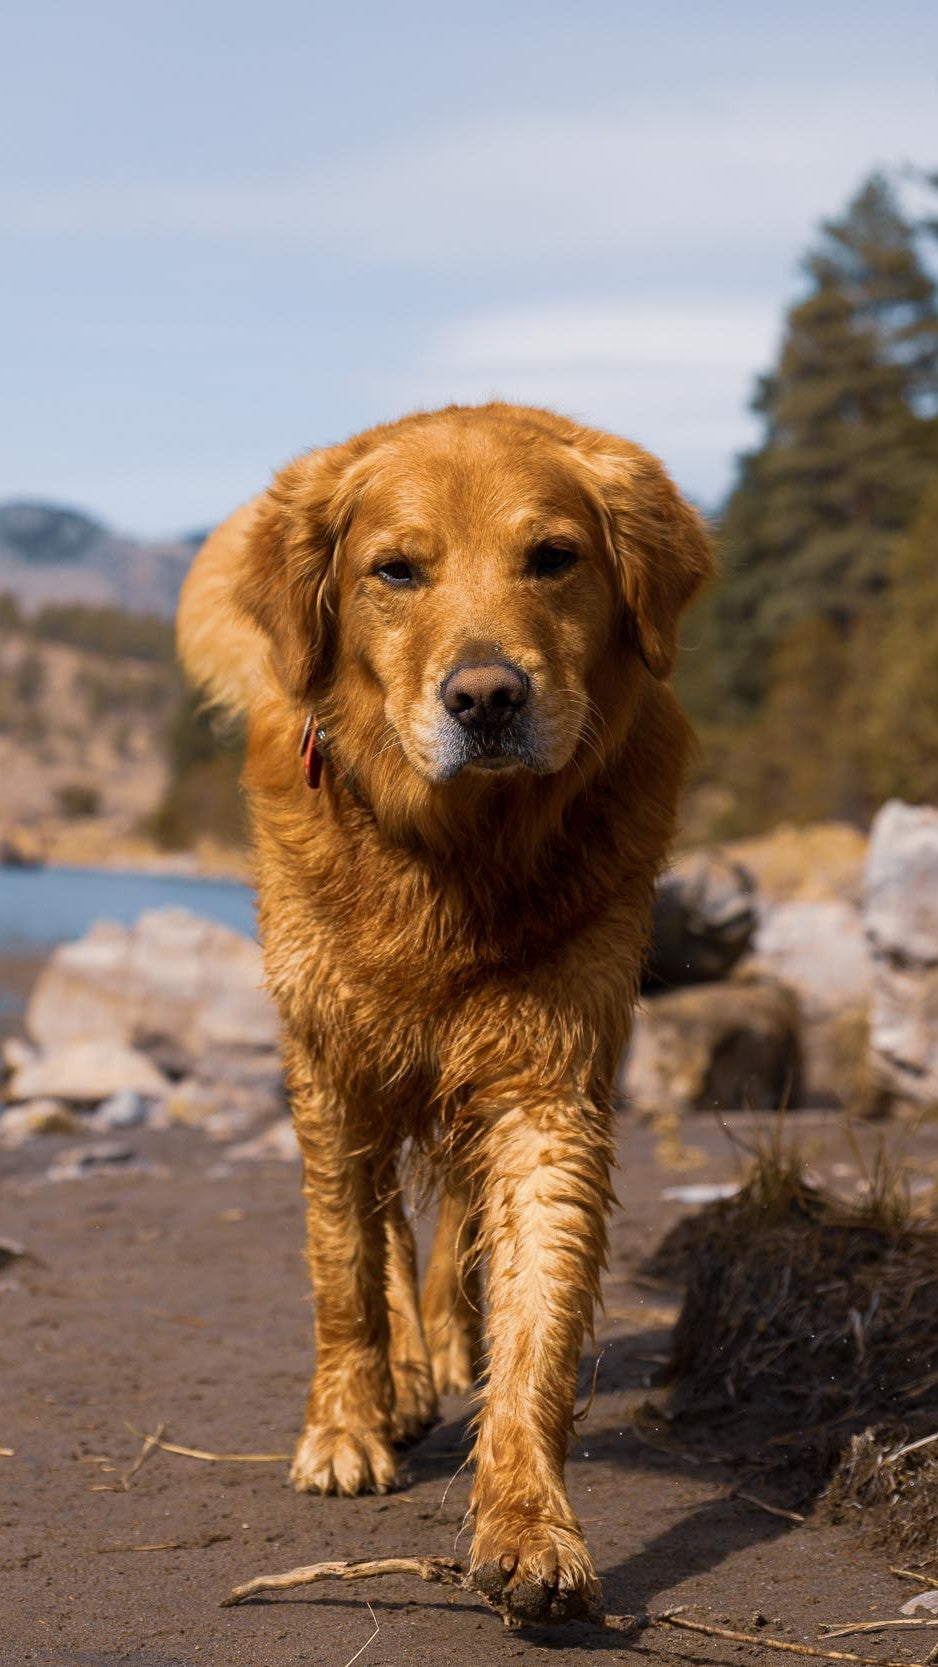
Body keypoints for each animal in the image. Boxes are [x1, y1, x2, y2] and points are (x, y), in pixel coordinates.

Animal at [179, 396, 716, 1620]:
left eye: (553, 557)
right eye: (396, 570)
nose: (486, 697)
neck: (457, 853)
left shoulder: (545, 1080)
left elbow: (537, 1310)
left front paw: (528, 1523)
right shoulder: (330, 1058)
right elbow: (340, 1262)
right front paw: (345, 1426)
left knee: (457, 1225)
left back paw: (447, 1352)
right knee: (374, 1217)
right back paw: (399, 1379)